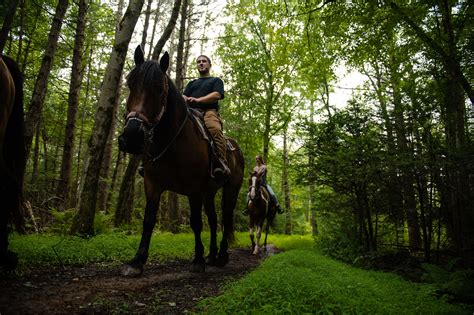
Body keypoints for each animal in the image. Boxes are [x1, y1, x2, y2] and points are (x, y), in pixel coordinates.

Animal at [118, 47, 244, 276]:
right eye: (130, 84)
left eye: (159, 89)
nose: (132, 136)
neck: (172, 141)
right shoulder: (152, 184)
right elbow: (148, 220)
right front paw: (137, 261)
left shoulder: (193, 189)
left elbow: (195, 223)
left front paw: (198, 259)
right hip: (209, 192)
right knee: (213, 220)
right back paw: (212, 255)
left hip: (231, 188)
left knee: (226, 217)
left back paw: (222, 255)